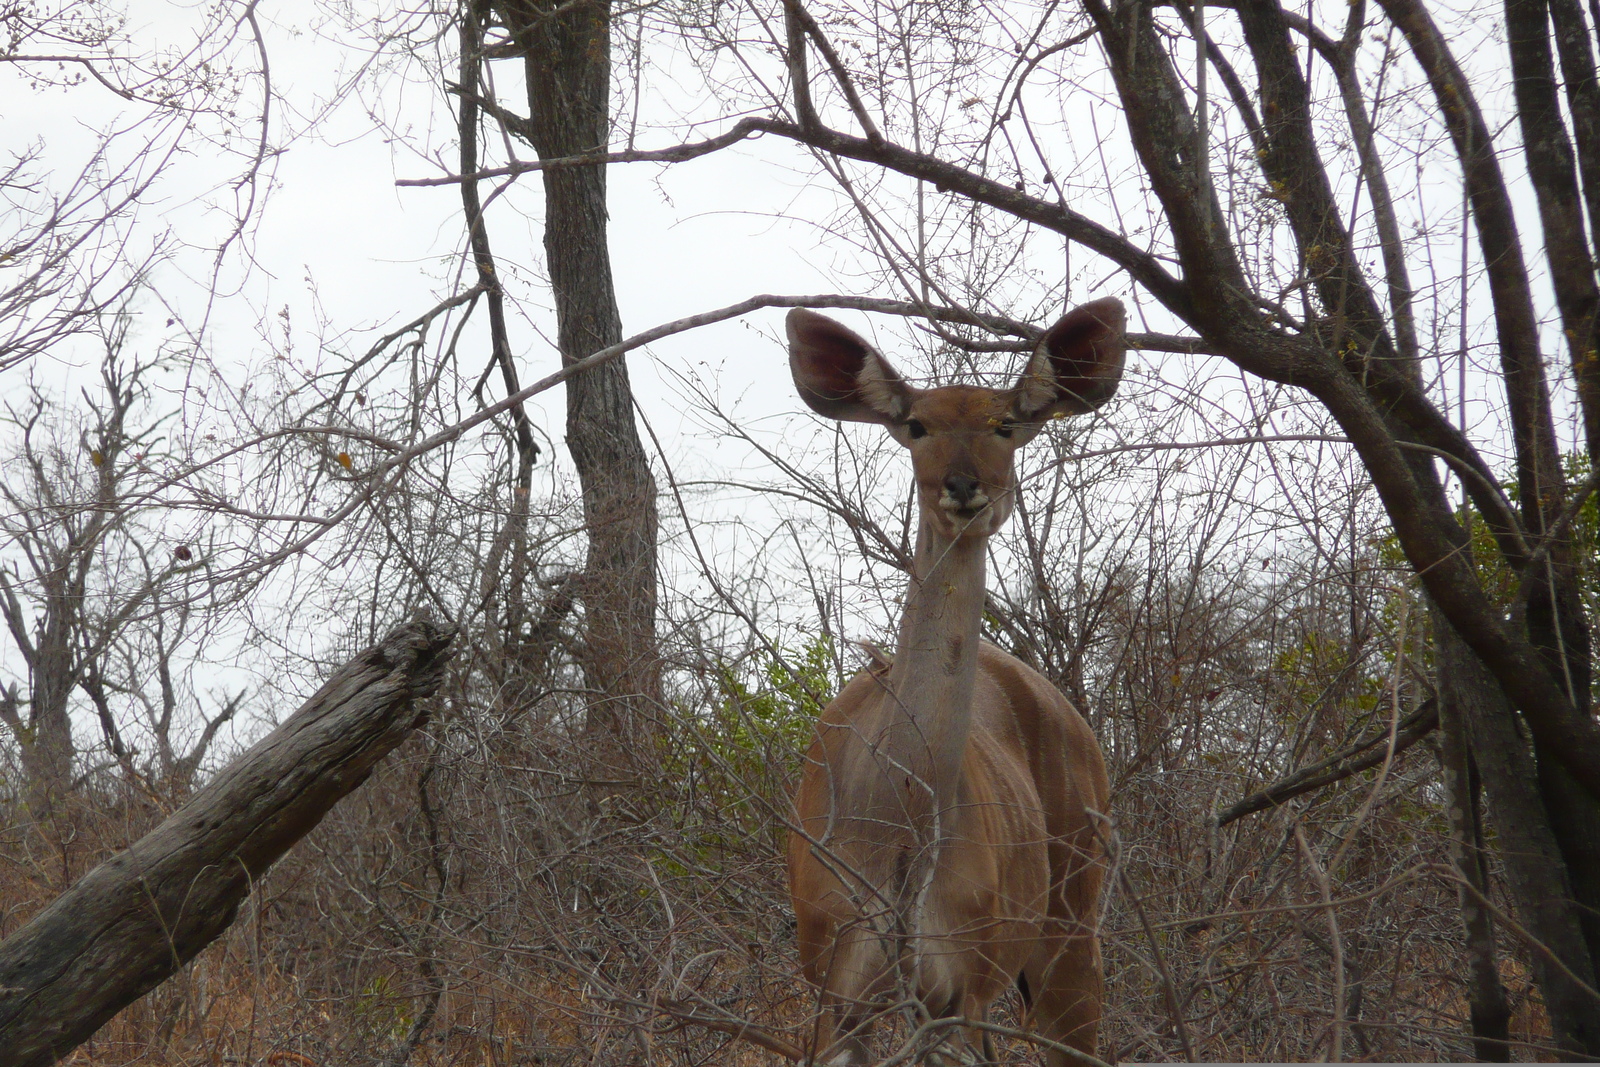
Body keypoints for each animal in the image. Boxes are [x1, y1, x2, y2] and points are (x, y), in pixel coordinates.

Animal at [784, 300, 1113, 1067]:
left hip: (1070, 935)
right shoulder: (836, 984)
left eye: (1006, 423)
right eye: (916, 425)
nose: (966, 488)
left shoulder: (954, 989)